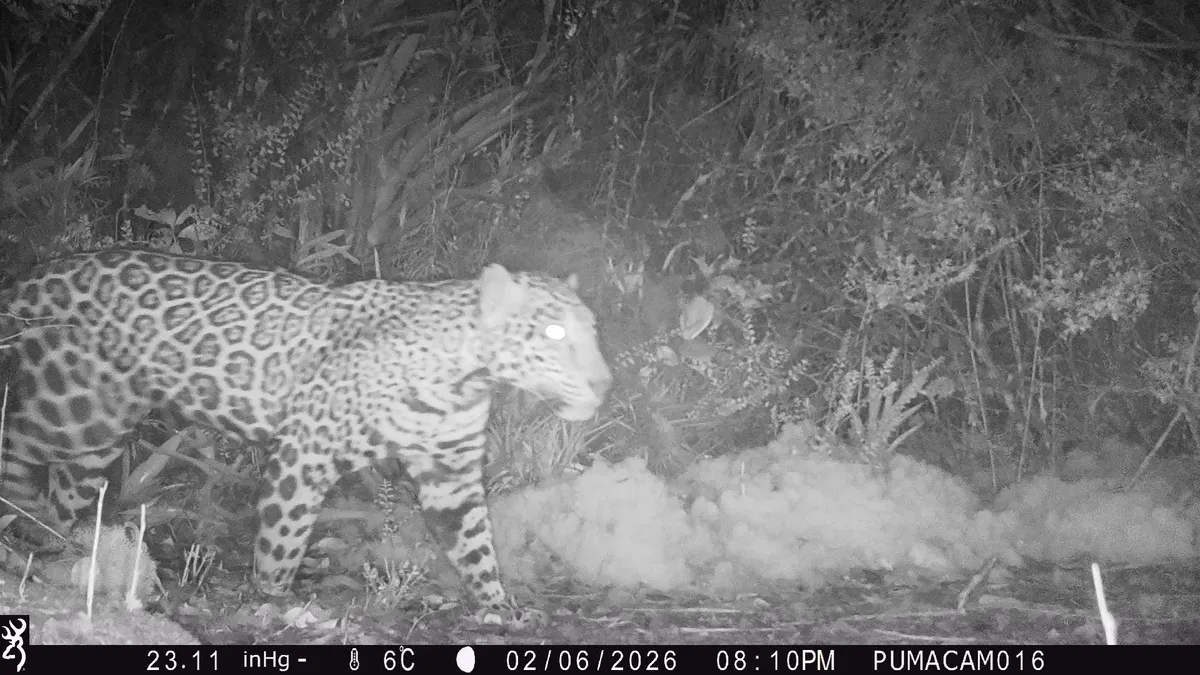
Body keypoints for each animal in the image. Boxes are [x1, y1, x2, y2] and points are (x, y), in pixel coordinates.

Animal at [0, 248, 612, 622]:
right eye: (554, 333)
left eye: (590, 330)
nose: (604, 381)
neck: (463, 377)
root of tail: (32, 274)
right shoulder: (305, 453)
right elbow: (284, 537)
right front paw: (274, 600)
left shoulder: (451, 471)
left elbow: (476, 542)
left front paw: (498, 606)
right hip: (66, 409)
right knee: (15, 446)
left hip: (95, 434)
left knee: (66, 491)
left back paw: (59, 546)